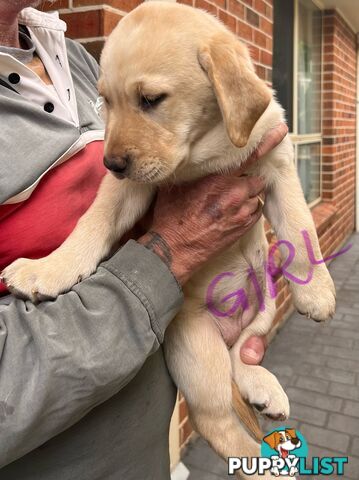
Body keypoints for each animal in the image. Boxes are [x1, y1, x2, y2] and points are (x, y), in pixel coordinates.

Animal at [2, 2, 336, 476]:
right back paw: (260, 459)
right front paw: (49, 269)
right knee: (214, 417)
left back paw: (263, 389)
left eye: (151, 100)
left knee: (243, 356)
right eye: (107, 101)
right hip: (196, 351)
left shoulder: (277, 164)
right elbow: (94, 222)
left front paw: (317, 292)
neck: (206, 148)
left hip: (266, 305)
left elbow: (300, 226)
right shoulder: (127, 189)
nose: (112, 164)